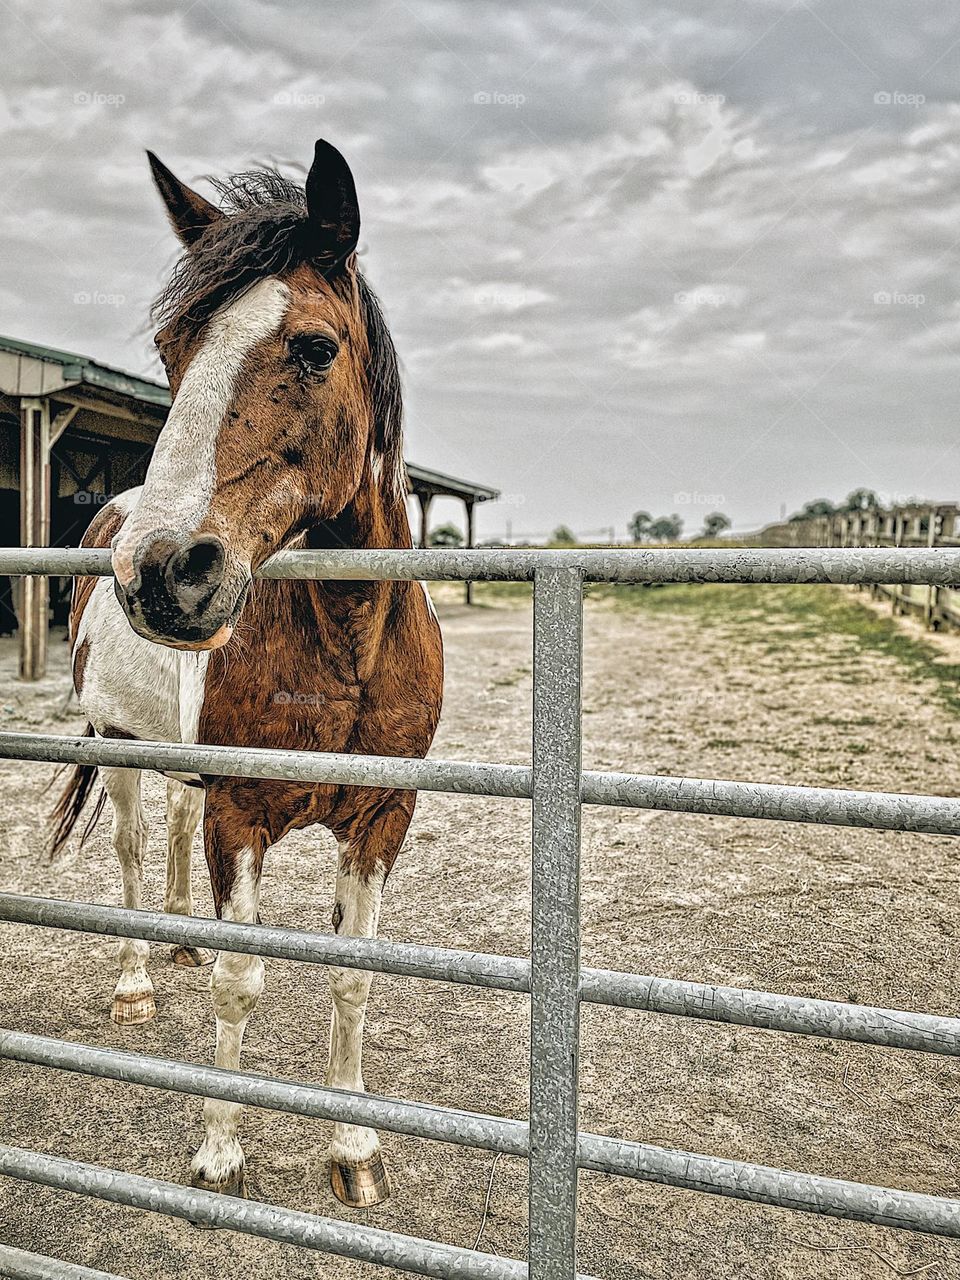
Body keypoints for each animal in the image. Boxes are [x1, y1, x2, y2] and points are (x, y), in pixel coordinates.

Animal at [48, 140, 442, 1208]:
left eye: (314, 347)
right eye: (172, 355)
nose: (160, 571)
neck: (345, 646)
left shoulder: (382, 819)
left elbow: (351, 975)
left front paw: (354, 1150)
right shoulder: (241, 815)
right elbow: (241, 982)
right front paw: (221, 1153)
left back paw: (180, 938)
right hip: (122, 749)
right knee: (133, 856)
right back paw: (138, 980)